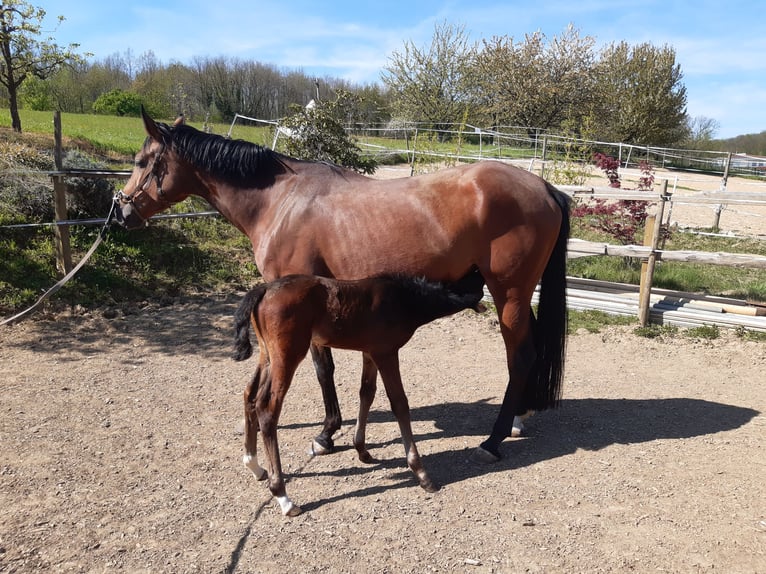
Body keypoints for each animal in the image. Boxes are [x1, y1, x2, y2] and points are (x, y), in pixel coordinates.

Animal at [114, 108, 570, 463]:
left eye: (141, 160)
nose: (121, 212)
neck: (279, 201)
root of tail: (545, 187)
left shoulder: (304, 296)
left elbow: (322, 368)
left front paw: (325, 434)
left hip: (508, 294)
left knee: (520, 356)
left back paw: (493, 440)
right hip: (516, 295)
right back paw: (518, 419)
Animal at [232, 267, 487, 515]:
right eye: (479, 282)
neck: (403, 299)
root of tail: (265, 289)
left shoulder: (370, 352)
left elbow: (367, 393)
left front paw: (362, 450)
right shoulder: (386, 353)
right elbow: (399, 403)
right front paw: (421, 473)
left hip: (267, 354)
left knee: (250, 395)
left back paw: (254, 465)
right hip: (287, 356)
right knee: (268, 409)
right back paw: (283, 497)